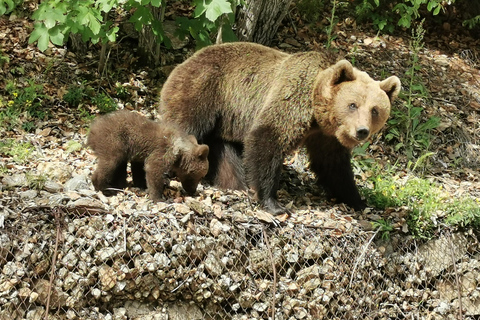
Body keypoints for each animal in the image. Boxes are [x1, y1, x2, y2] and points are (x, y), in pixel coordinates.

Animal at [158, 41, 402, 214]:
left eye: (375, 110)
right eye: (353, 104)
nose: (361, 131)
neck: (317, 114)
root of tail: (183, 63)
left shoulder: (325, 136)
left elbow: (333, 165)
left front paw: (358, 201)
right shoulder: (292, 96)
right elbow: (268, 138)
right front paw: (273, 203)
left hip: (225, 122)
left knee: (225, 154)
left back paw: (233, 182)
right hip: (204, 91)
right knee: (186, 126)